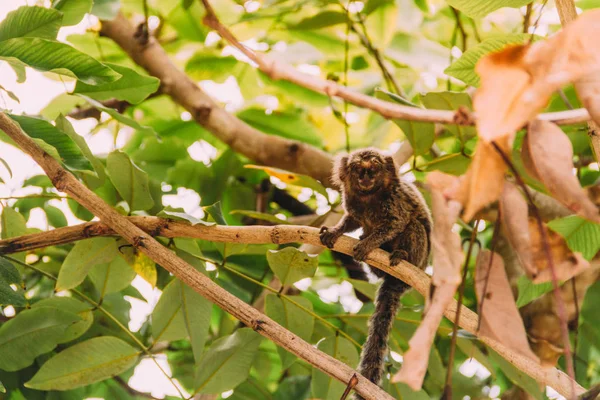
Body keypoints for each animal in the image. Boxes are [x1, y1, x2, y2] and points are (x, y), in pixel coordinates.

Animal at [322, 148, 428, 396]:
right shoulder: (352, 201)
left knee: (414, 225)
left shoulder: (394, 201)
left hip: (420, 257)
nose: (366, 178)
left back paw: (401, 255)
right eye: (358, 169)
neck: (370, 196)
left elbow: (395, 223)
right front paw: (336, 231)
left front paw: (369, 244)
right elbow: (351, 221)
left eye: (374, 169)